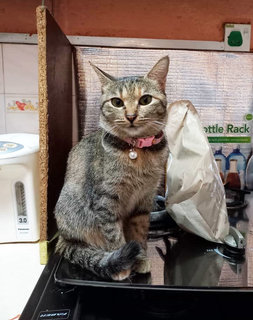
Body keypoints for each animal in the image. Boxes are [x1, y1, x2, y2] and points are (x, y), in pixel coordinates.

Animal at [55, 55, 170, 280]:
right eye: (117, 102)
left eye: (145, 100)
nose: (131, 116)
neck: (136, 151)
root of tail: (61, 238)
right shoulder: (105, 202)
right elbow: (114, 236)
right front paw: (124, 267)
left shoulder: (144, 201)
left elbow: (139, 234)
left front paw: (140, 259)